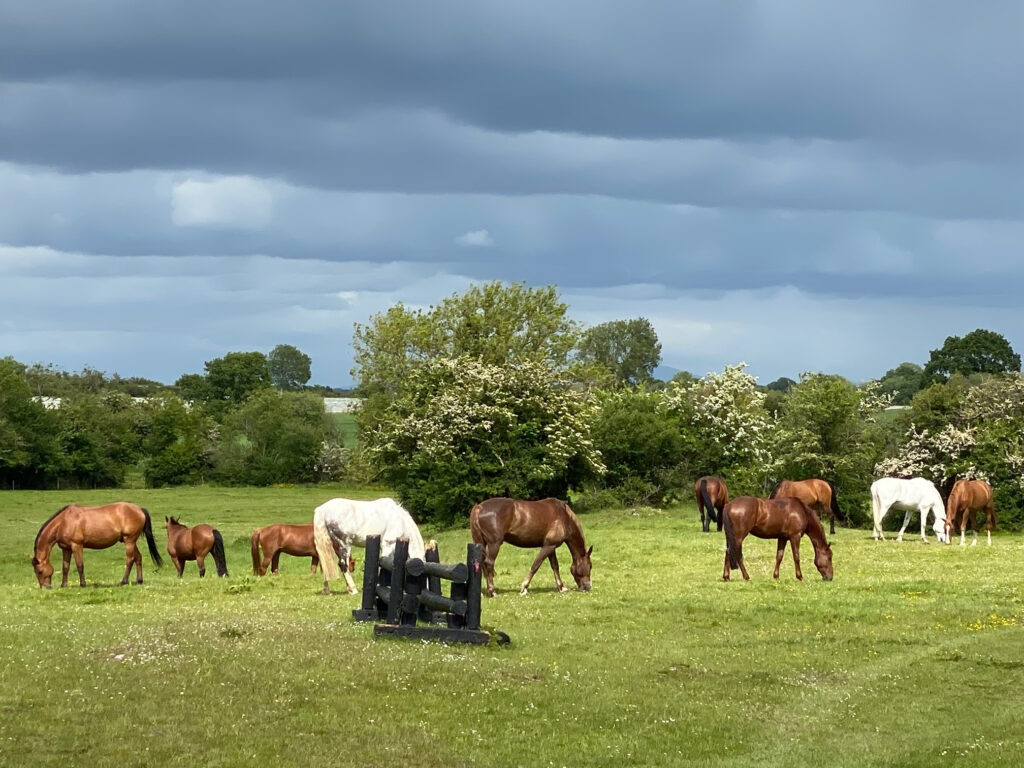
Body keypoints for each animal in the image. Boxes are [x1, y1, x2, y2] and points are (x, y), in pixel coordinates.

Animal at [30, 505, 163, 589]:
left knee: (130, 560)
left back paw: (123, 581)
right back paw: (139, 580)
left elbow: (80, 566)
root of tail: (139, 509)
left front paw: (83, 584)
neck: (64, 522)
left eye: (40, 571)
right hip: (130, 541)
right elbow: (65, 567)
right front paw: (64, 585)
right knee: (138, 558)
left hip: (129, 541)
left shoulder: (77, 546)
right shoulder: (66, 549)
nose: (45, 587)